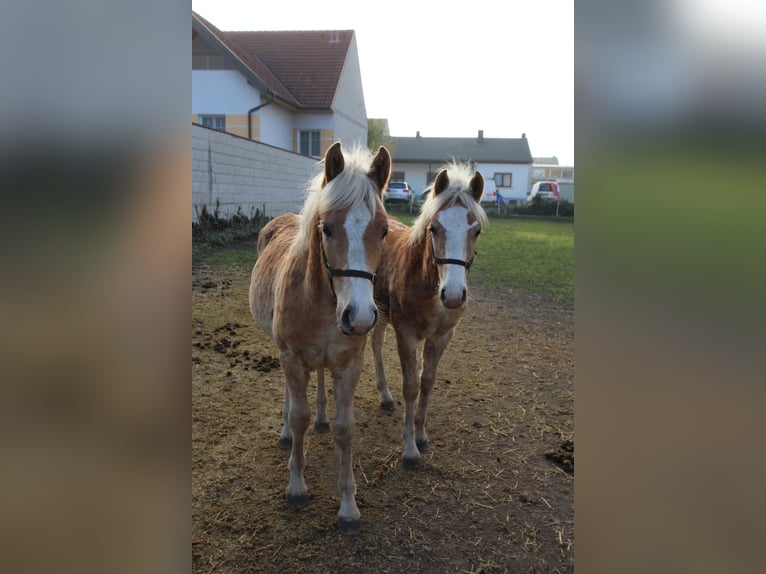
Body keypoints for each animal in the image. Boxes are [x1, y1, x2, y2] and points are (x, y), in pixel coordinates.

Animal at [250, 143, 392, 536]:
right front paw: (296, 487)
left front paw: (348, 506)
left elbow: (346, 430)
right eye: (326, 228)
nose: (360, 317)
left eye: (384, 231)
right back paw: (286, 432)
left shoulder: (349, 365)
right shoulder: (292, 358)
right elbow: (299, 416)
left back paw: (323, 418)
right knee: (292, 398)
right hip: (284, 355)